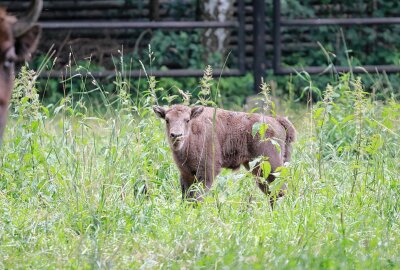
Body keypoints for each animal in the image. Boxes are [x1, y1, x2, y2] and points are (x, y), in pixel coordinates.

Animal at [154, 104, 296, 204]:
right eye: (167, 120)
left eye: (187, 120)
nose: (176, 135)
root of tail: (276, 121)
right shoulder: (186, 174)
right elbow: (187, 198)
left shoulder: (207, 173)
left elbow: (198, 198)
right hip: (259, 170)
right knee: (271, 192)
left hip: (271, 166)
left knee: (279, 191)